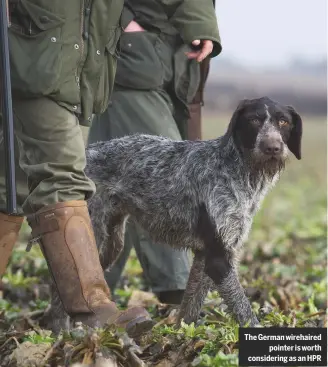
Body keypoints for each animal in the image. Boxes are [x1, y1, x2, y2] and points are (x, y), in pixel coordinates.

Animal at [46, 96, 302, 332]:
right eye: (254, 120)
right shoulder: (218, 258)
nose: (272, 147)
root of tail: (84, 155)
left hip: (110, 243)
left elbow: (191, 304)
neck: (239, 170)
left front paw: (181, 334)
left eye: (283, 121)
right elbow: (242, 307)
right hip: (92, 232)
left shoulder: (207, 253)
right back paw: (61, 334)